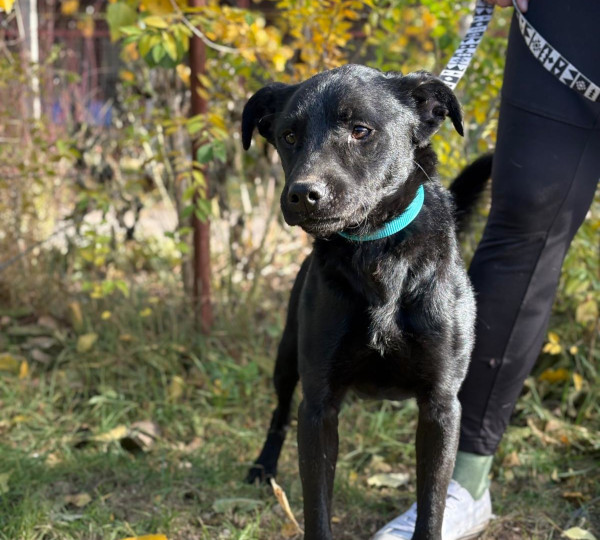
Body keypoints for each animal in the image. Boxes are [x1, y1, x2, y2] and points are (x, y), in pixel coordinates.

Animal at [242, 64, 490, 540]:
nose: (303, 194)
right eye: (289, 136)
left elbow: (432, 505)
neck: (377, 252)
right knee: (279, 412)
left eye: (360, 131)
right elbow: (317, 508)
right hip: (287, 358)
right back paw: (263, 466)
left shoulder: (442, 407)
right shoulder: (318, 407)